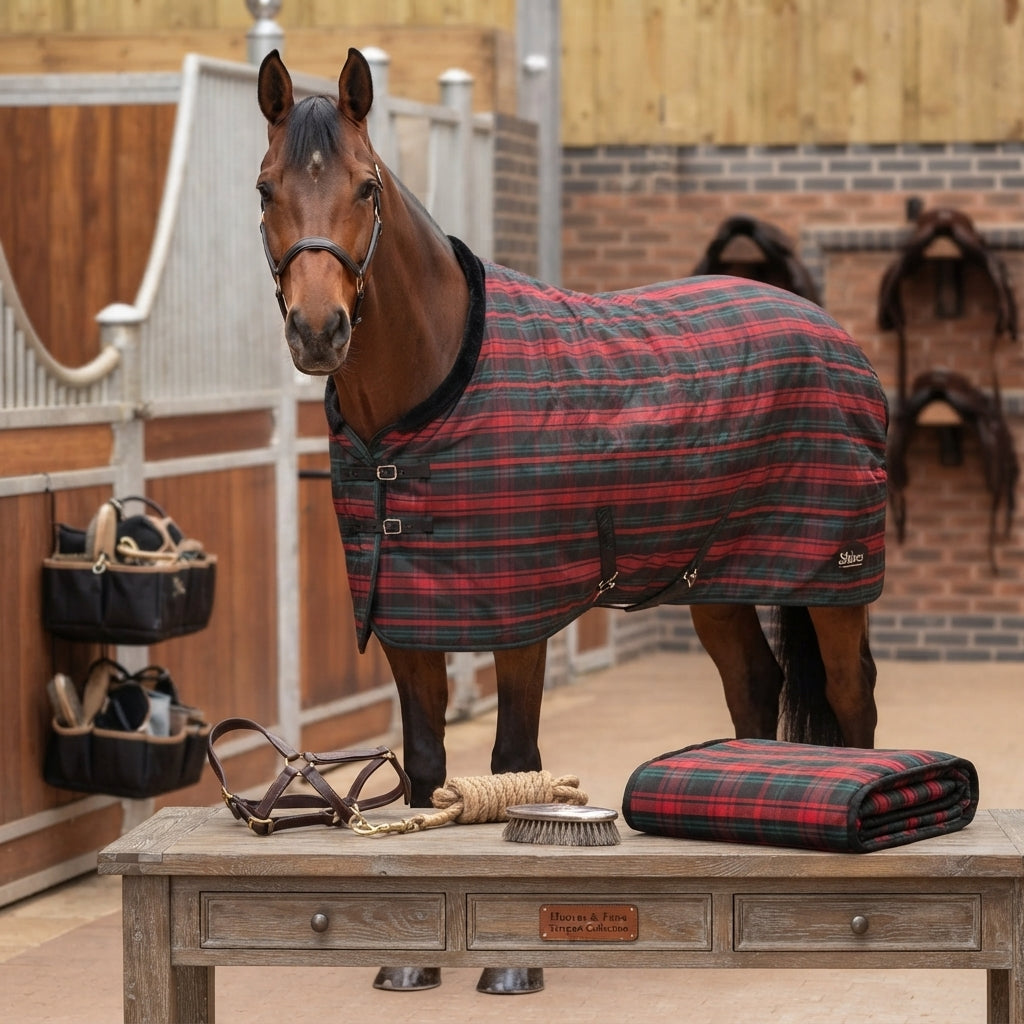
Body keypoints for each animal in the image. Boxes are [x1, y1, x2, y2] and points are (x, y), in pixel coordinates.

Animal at [256, 48, 888, 995]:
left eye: (366, 187)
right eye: (266, 189)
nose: (319, 330)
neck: (428, 399)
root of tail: (829, 328)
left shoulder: (520, 619)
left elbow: (513, 764)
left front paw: (509, 968)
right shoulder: (409, 617)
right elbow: (427, 768)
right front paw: (411, 962)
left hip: (832, 578)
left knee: (851, 701)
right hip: (718, 582)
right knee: (754, 688)